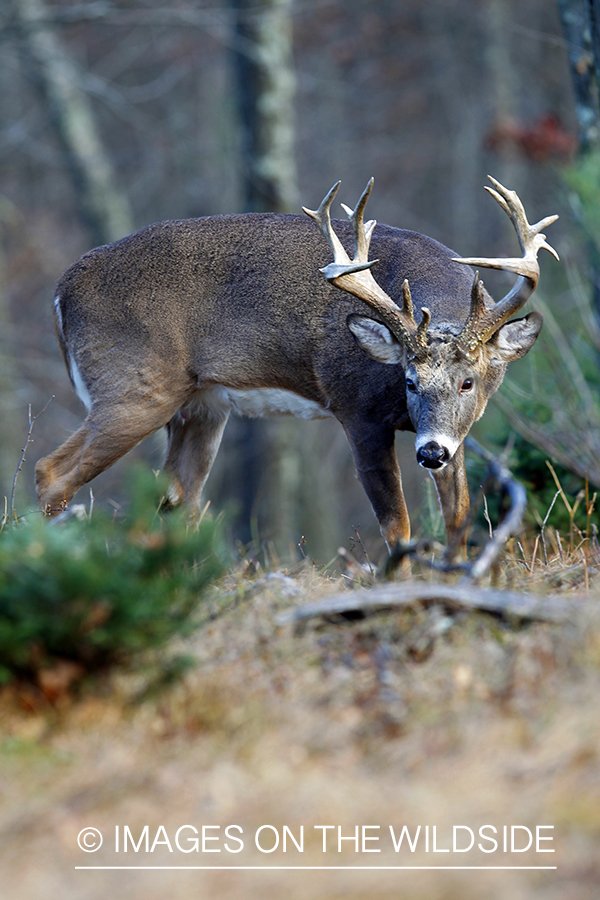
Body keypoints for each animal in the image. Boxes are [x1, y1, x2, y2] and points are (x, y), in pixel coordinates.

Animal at [37, 176, 556, 556]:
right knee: (52, 472)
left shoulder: (455, 435)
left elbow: (458, 515)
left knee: (177, 498)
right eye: (408, 381)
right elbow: (397, 525)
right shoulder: (357, 411)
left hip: (200, 406)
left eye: (468, 382)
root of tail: (61, 292)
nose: (430, 453)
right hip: (134, 386)